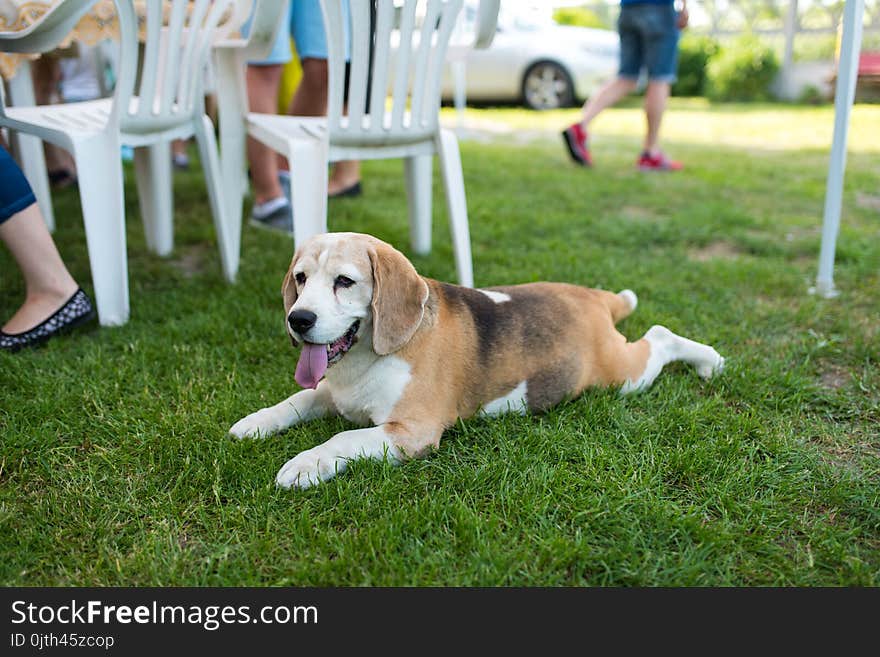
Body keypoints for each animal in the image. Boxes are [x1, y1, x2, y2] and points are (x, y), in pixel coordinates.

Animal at [230, 232, 724, 486]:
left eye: (344, 282)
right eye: (300, 277)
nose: (298, 320)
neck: (367, 357)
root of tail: (589, 296)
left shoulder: (411, 432)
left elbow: (342, 439)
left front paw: (306, 464)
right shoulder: (332, 394)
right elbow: (294, 401)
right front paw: (254, 423)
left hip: (623, 376)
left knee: (660, 337)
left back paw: (709, 362)